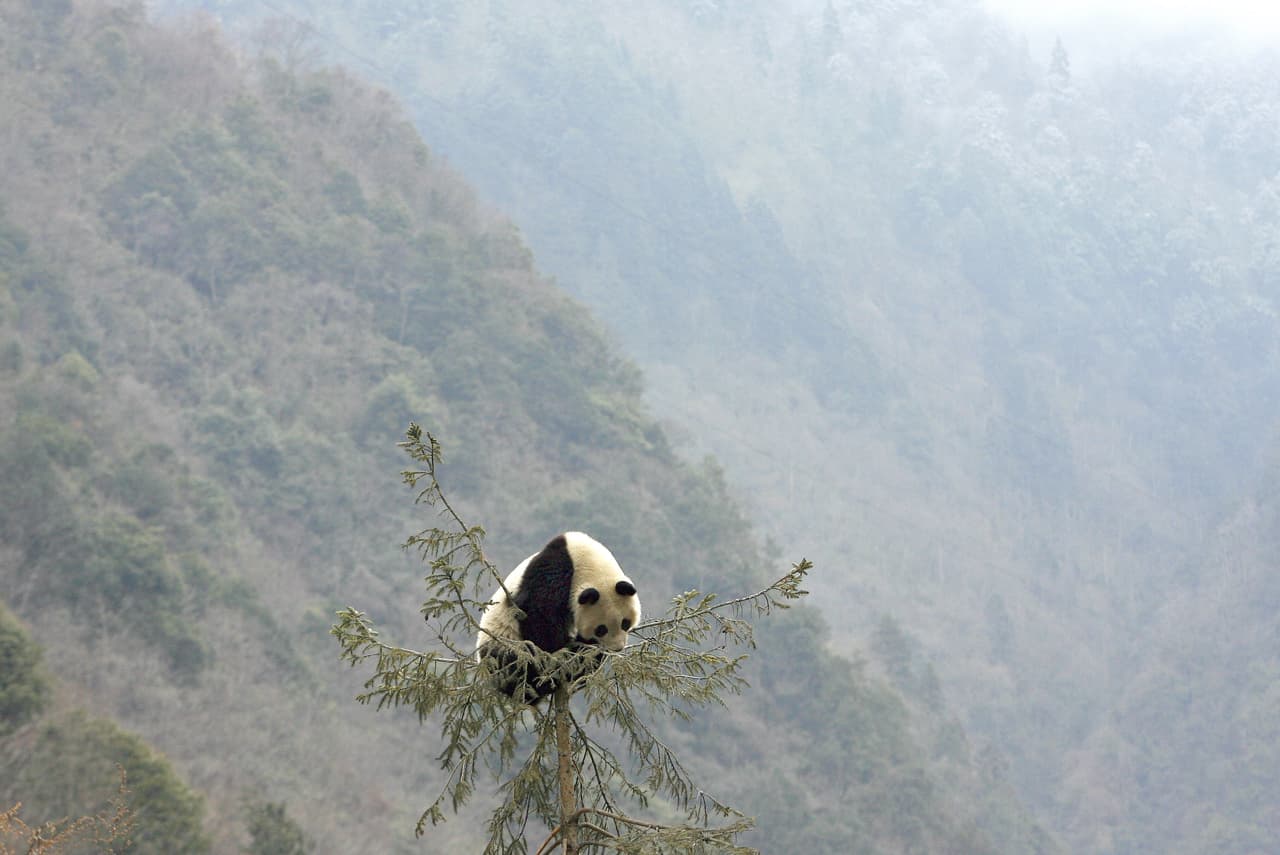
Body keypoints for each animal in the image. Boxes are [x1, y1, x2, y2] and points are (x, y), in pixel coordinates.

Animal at [476, 531, 641, 703]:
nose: (617, 648)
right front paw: (557, 651)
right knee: (517, 666)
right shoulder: (555, 571)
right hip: (503, 642)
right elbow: (537, 612)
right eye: (601, 629)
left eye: (625, 623)